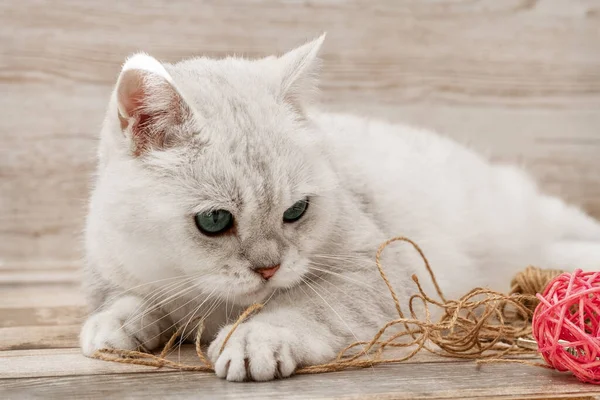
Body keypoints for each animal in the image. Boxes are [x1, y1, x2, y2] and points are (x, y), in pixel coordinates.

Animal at [81, 35, 600, 382]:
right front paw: (116, 323)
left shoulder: (373, 272)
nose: (269, 269)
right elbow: (131, 299)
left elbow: (304, 306)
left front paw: (256, 336)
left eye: (296, 211)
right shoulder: (118, 269)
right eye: (214, 220)